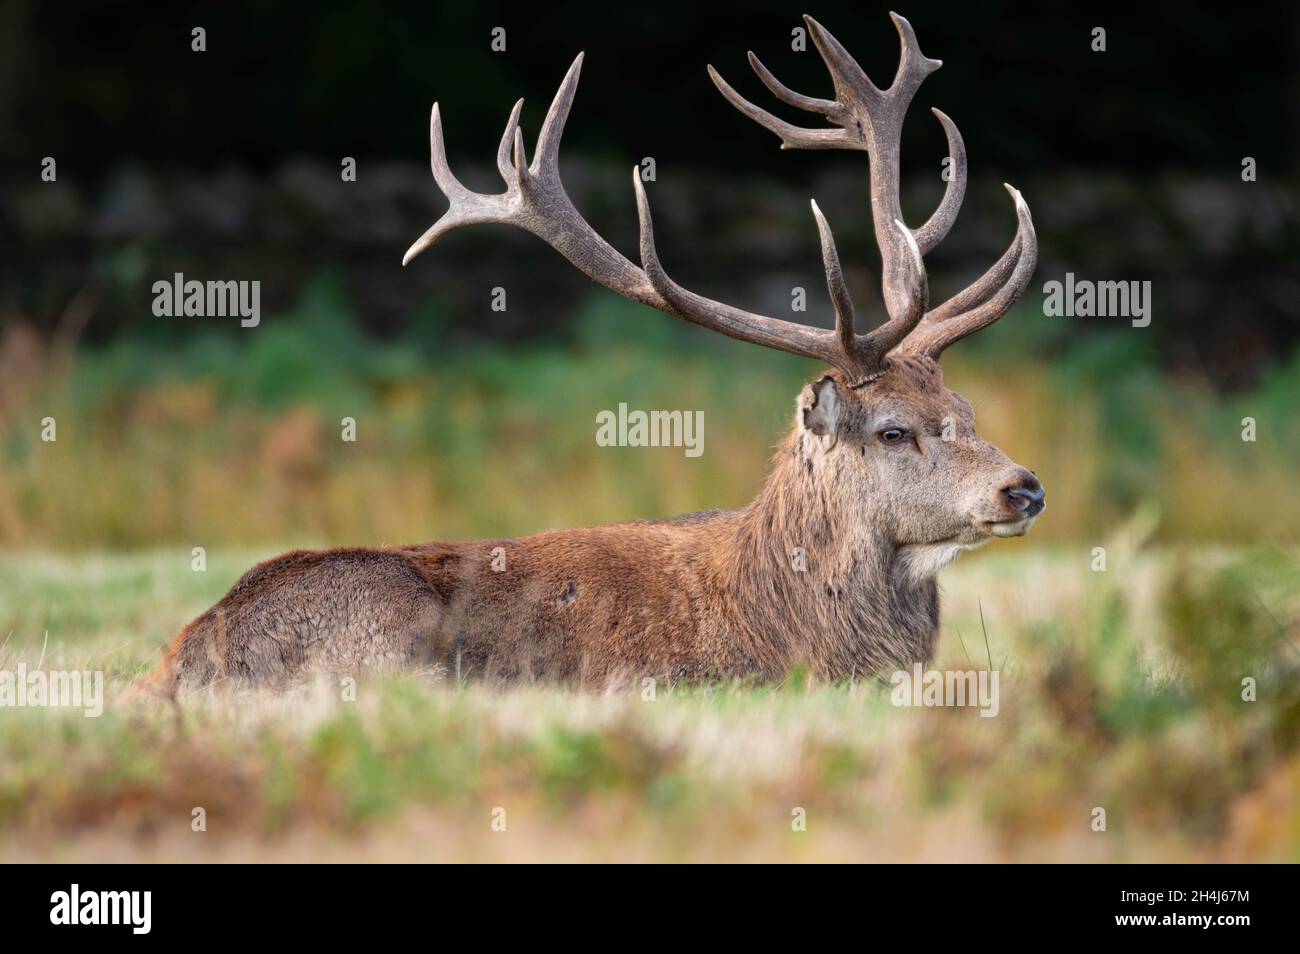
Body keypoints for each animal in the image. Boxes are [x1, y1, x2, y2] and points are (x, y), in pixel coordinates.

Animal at [142, 12, 1043, 695]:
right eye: (893, 429)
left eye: (965, 410)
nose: (1025, 487)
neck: (790, 631)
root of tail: (181, 662)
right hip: (384, 626)